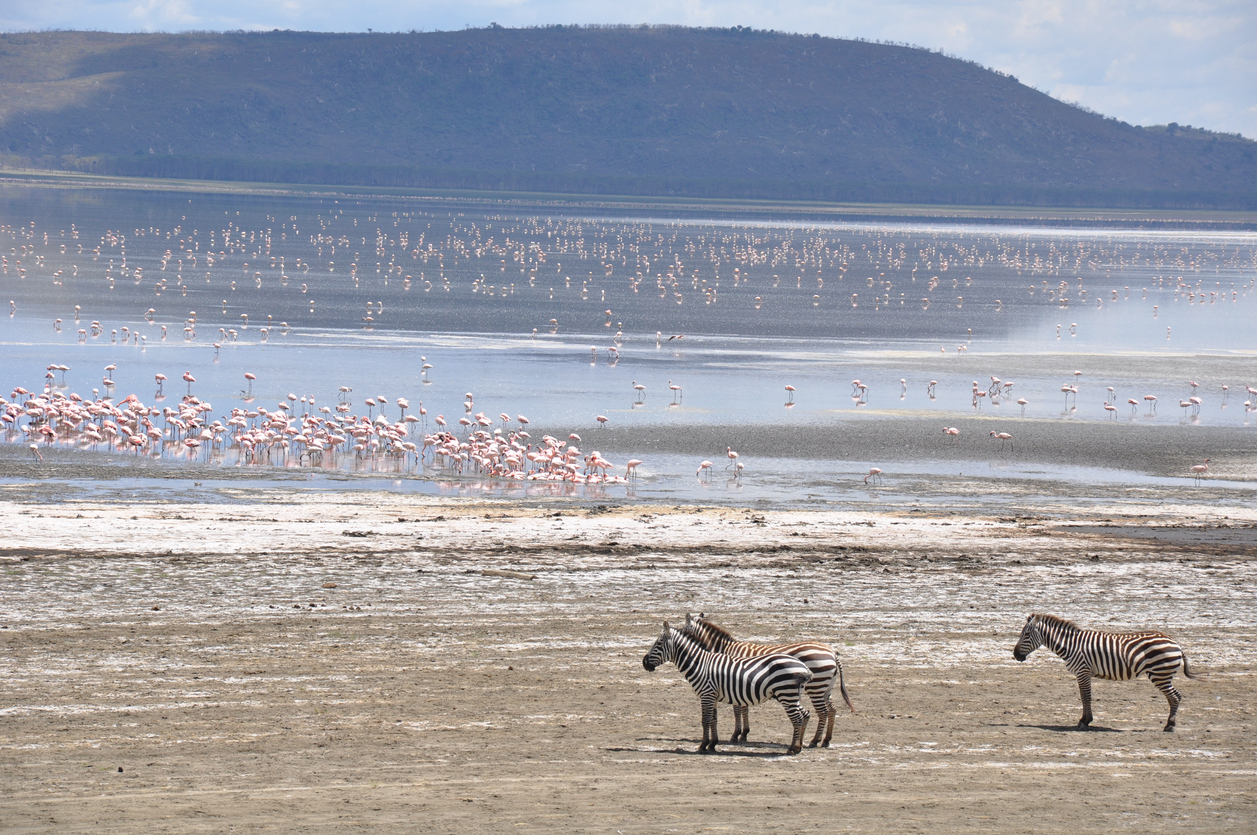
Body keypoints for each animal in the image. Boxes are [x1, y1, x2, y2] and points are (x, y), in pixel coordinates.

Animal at [638, 623, 814, 754]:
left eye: (658, 643)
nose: (644, 663)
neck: (700, 664)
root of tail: (804, 667)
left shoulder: (706, 694)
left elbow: (705, 719)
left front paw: (703, 745)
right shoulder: (712, 696)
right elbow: (713, 719)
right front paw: (712, 744)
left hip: (786, 693)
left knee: (797, 718)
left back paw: (793, 748)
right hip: (792, 695)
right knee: (805, 713)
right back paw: (800, 746)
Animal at [683, 611, 859, 744]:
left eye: (684, 630)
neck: (727, 650)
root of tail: (832, 652)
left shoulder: (735, 680)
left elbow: (738, 709)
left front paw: (737, 734)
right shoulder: (740, 682)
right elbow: (743, 707)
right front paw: (743, 733)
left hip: (816, 687)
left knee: (823, 712)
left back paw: (814, 741)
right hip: (826, 687)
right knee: (832, 710)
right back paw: (826, 740)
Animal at [1010, 613, 1196, 729]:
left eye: (1026, 634)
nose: (1015, 655)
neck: (1070, 645)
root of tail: (1176, 644)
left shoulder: (1083, 671)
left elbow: (1085, 696)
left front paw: (1085, 721)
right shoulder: (1083, 673)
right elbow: (1084, 696)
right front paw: (1085, 720)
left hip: (1160, 673)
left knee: (1175, 697)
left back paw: (1169, 725)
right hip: (1161, 674)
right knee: (1175, 697)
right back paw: (1170, 724)